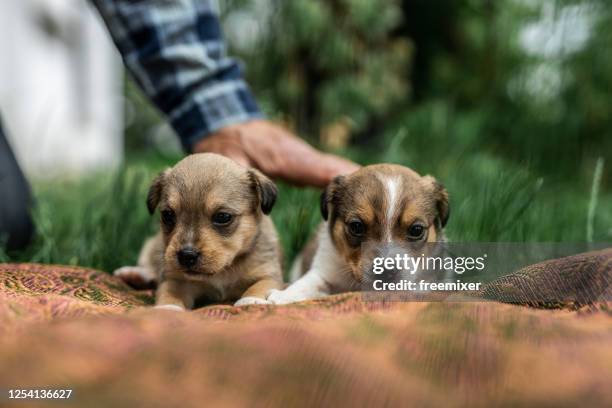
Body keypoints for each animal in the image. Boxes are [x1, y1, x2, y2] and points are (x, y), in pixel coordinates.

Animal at [116, 153, 284, 310]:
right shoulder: (177, 279)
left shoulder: (269, 274)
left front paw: (250, 300)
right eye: (167, 215)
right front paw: (168, 308)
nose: (186, 256)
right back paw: (134, 274)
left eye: (223, 217)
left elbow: (259, 285)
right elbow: (169, 292)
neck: (223, 271)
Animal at [268, 163, 450, 302]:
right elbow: (308, 283)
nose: (386, 271)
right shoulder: (324, 270)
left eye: (416, 230)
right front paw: (282, 296)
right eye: (356, 227)